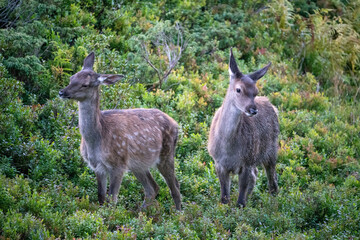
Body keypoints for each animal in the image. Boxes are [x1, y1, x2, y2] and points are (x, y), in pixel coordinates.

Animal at [60, 52, 183, 210]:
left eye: (85, 84)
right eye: (71, 77)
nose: (62, 92)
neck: (97, 139)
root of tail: (176, 124)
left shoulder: (118, 164)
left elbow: (112, 199)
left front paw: (112, 215)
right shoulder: (97, 166)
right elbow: (101, 197)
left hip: (166, 154)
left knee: (175, 186)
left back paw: (178, 213)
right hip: (138, 163)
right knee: (153, 187)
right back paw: (140, 212)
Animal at [207, 48, 280, 206]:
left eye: (255, 91)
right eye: (238, 89)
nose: (253, 110)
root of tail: (273, 106)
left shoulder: (247, 162)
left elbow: (240, 201)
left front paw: (242, 206)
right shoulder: (219, 163)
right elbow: (224, 198)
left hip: (271, 150)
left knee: (272, 180)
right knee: (256, 174)